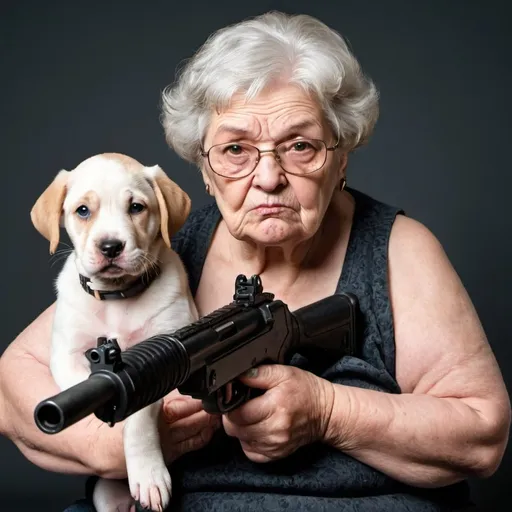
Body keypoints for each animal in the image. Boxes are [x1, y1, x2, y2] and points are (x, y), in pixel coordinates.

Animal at [29, 153, 198, 512]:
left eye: (136, 207)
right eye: (82, 210)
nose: (110, 247)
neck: (116, 297)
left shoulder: (164, 361)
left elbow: (140, 419)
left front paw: (148, 474)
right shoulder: (66, 357)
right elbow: (83, 388)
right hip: (105, 497)